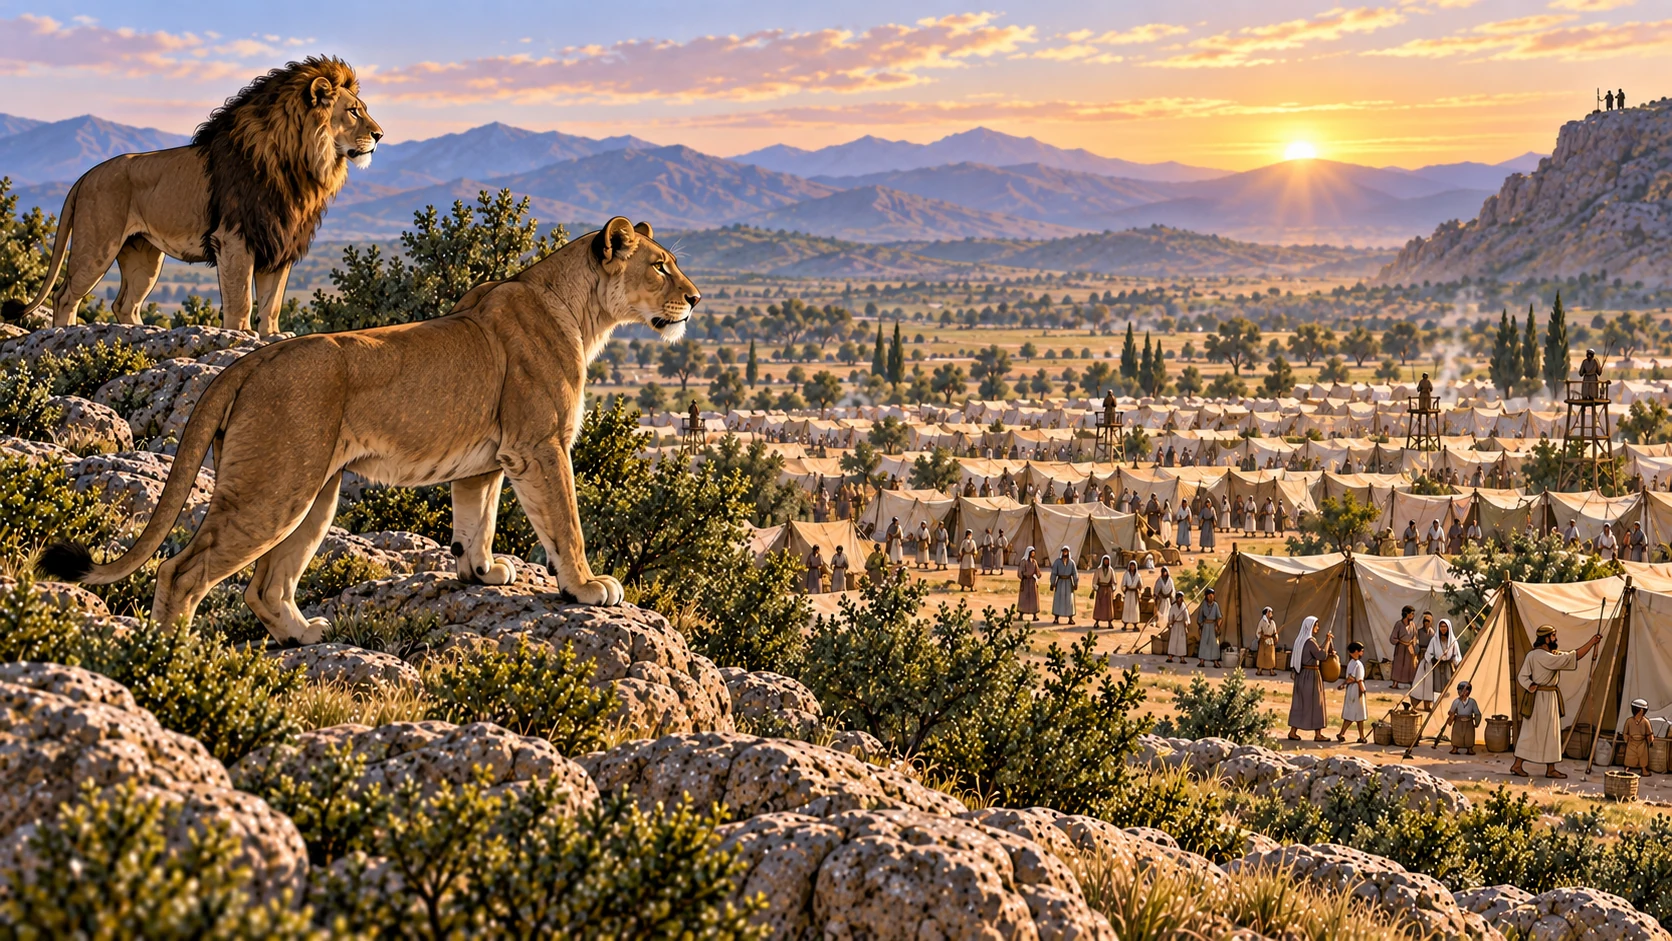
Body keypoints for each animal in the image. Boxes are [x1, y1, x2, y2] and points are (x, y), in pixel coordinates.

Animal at [3, 56, 380, 336]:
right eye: (353, 111)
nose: (380, 135)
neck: (300, 165)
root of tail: (85, 176)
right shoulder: (235, 238)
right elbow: (241, 299)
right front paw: (241, 335)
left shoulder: (279, 242)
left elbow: (272, 302)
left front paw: (273, 336)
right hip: (97, 246)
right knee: (65, 296)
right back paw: (64, 335)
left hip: (144, 257)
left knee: (124, 304)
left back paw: (145, 333)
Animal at [40, 216, 699, 644]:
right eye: (660, 266)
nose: (693, 300)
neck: (582, 313)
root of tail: (249, 362)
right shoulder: (540, 446)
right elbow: (565, 523)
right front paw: (586, 587)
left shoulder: (489, 461)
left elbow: (476, 521)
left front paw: (481, 571)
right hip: (273, 491)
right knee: (181, 572)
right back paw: (173, 661)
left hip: (314, 493)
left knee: (265, 585)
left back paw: (303, 635)